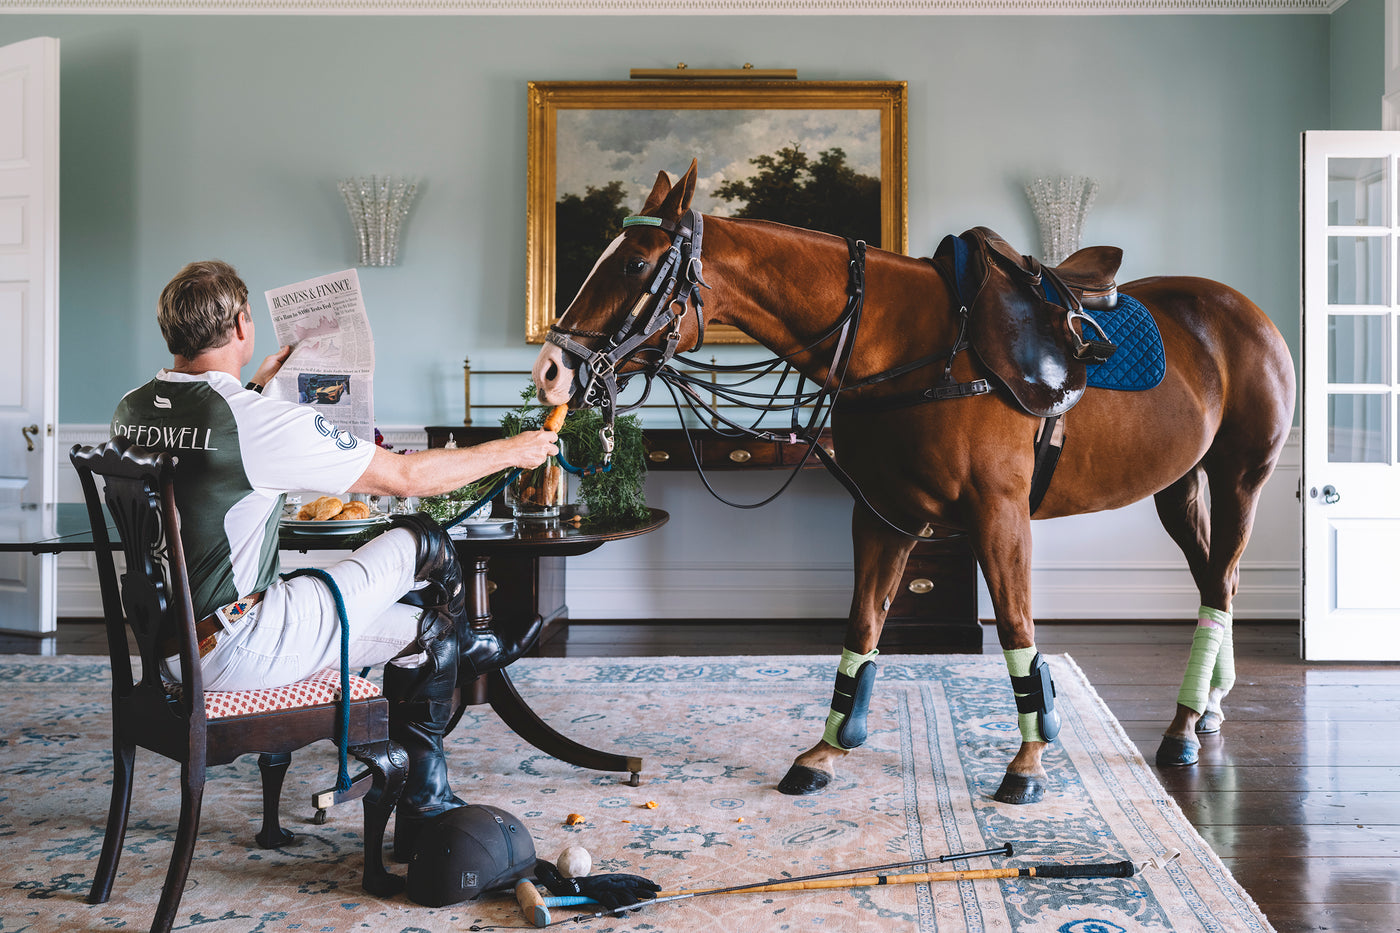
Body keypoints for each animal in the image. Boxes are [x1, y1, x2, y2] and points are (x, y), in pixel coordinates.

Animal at [529, 159, 1293, 801]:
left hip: (1240, 477)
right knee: (1214, 581)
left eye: (634, 262)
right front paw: (827, 748)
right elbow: (863, 627)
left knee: (1222, 580)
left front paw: (1028, 760)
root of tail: (1245, 312)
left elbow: (1016, 629)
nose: (551, 369)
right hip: (1179, 485)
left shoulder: (998, 516)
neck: (906, 348)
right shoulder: (883, 514)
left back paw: (1182, 725)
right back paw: (1205, 709)